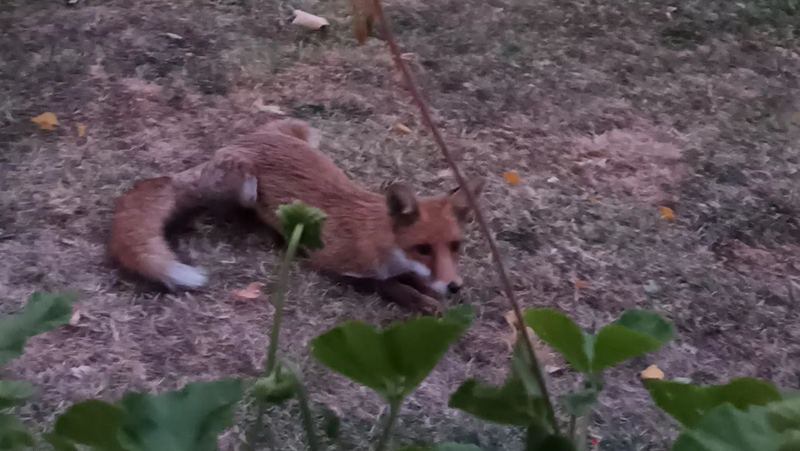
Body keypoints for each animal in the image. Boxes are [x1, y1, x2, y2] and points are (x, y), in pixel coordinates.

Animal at [109, 118, 484, 312]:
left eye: (456, 246)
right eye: (422, 248)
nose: (455, 286)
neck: (374, 239)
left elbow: (411, 278)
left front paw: (433, 291)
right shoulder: (329, 264)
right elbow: (387, 286)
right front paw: (422, 300)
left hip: (307, 132)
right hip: (246, 185)